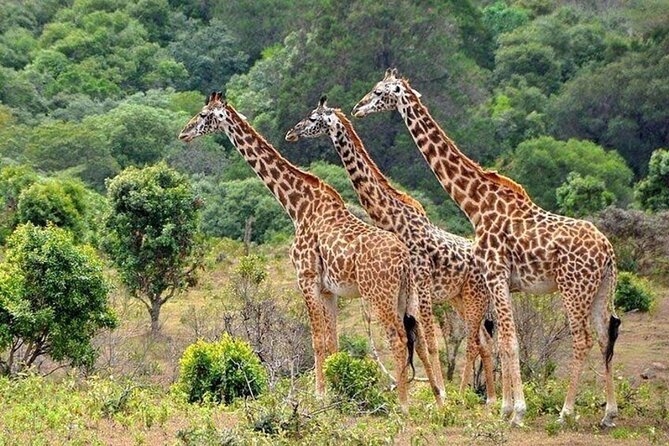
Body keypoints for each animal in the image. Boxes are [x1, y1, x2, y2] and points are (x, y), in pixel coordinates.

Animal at [178, 91, 444, 411]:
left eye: (204, 115)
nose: (183, 133)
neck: (297, 205)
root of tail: (405, 260)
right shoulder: (329, 289)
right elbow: (333, 342)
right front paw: (338, 392)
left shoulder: (306, 278)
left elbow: (317, 340)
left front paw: (319, 395)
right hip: (408, 295)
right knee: (419, 336)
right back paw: (437, 398)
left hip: (378, 295)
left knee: (398, 339)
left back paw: (403, 405)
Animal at [285, 96, 496, 405]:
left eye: (313, 118)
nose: (292, 133)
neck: (392, 217)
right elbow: (419, 342)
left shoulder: (418, 286)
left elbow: (427, 343)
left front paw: (440, 397)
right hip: (461, 299)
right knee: (485, 340)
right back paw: (492, 398)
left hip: (472, 297)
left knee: (473, 341)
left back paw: (464, 395)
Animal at [352, 69, 621, 428]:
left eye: (380, 92)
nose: (357, 107)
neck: (475, 205)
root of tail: (609, 253)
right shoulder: (499, 280)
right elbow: (503, 341)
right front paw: (506, 408)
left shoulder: (495, 274)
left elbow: (508, 341)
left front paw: (516, 412)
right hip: (601, 289)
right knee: (605, 337)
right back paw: (608, 413)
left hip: (573, 288)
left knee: (583, 340)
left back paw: (565, 412)